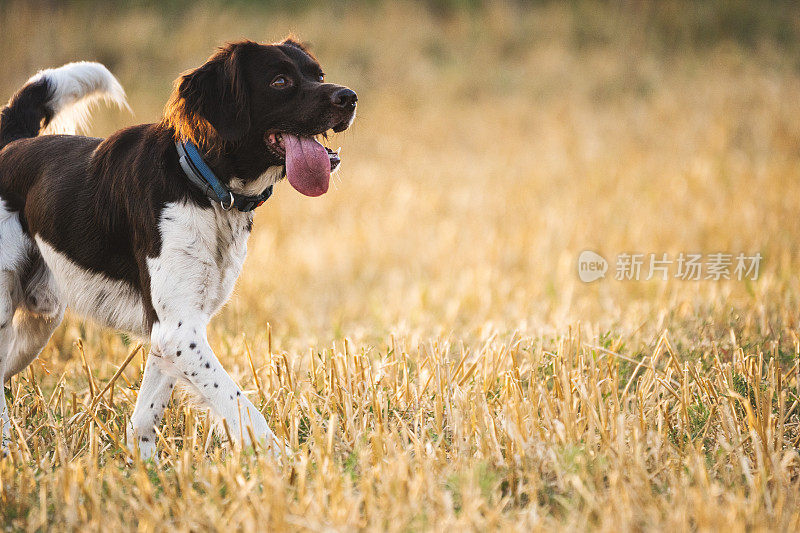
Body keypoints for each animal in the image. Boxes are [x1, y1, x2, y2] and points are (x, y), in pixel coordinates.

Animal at [0, 38, 356, 458]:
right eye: (280, 81)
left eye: (317, 74)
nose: (349, 97)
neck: (207, 187)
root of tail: (13, 144)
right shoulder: (180, 331)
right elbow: (241, 408)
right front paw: (286, 461)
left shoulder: (172, 327)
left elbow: (146, 413)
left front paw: (143, 464)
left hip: (39, 322)